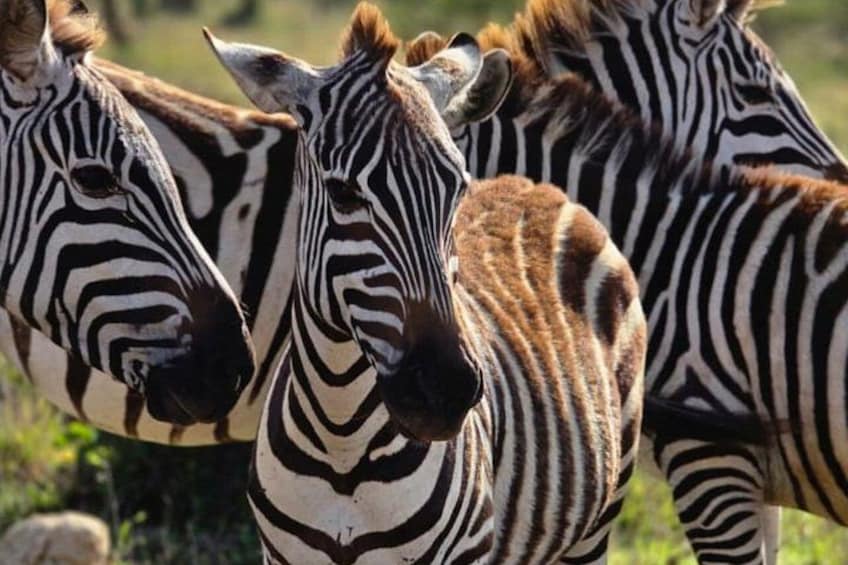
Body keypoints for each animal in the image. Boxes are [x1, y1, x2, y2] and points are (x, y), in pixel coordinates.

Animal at [207, 5, 648, 562]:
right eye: (343, 193)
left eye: (456, 188)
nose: (447, 388)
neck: (340, 440)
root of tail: (534, 186)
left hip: (599, 516)